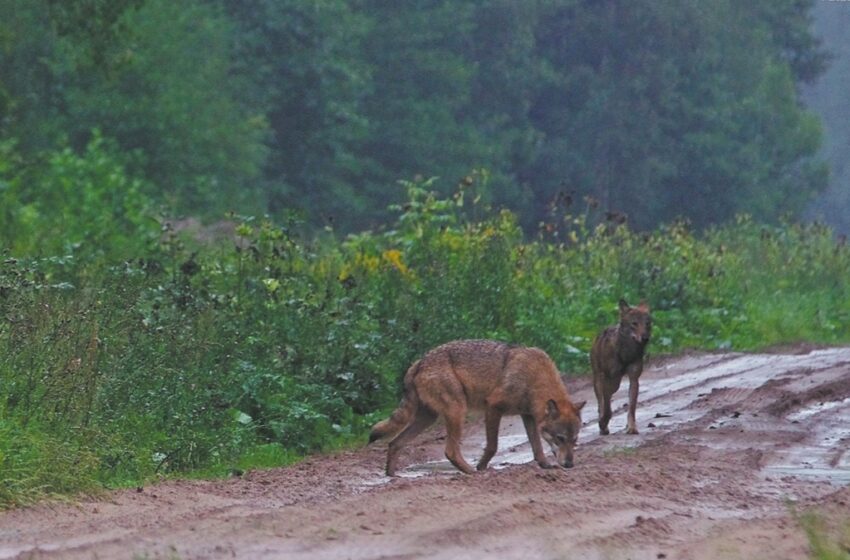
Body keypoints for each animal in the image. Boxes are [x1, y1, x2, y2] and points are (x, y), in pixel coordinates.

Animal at [368, 340, 588, 474]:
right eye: (560, 438)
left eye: (574, 439)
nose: (570, 464)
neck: (534, 379)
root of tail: (419, 363)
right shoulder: (493, 407)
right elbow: (492, 446)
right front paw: (482, 467)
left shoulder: (528, 417)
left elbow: (537, 448)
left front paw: (545, 466)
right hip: (457, 412)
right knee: (450, 451)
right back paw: (470, 472)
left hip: (428, 418)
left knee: (394, 443)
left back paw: (392, 476)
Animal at [588, 300, 648, 436]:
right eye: (634, 324)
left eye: (648, 324)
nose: (645, 338)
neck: (626, 353)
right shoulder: (608, 377)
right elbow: (607, 408)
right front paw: (603, 423)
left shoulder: (634, 378)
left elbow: (631, 408)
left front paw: (631, 428)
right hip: (602, 379)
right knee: (602, 401)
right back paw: (602, 425)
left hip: (616, 382)